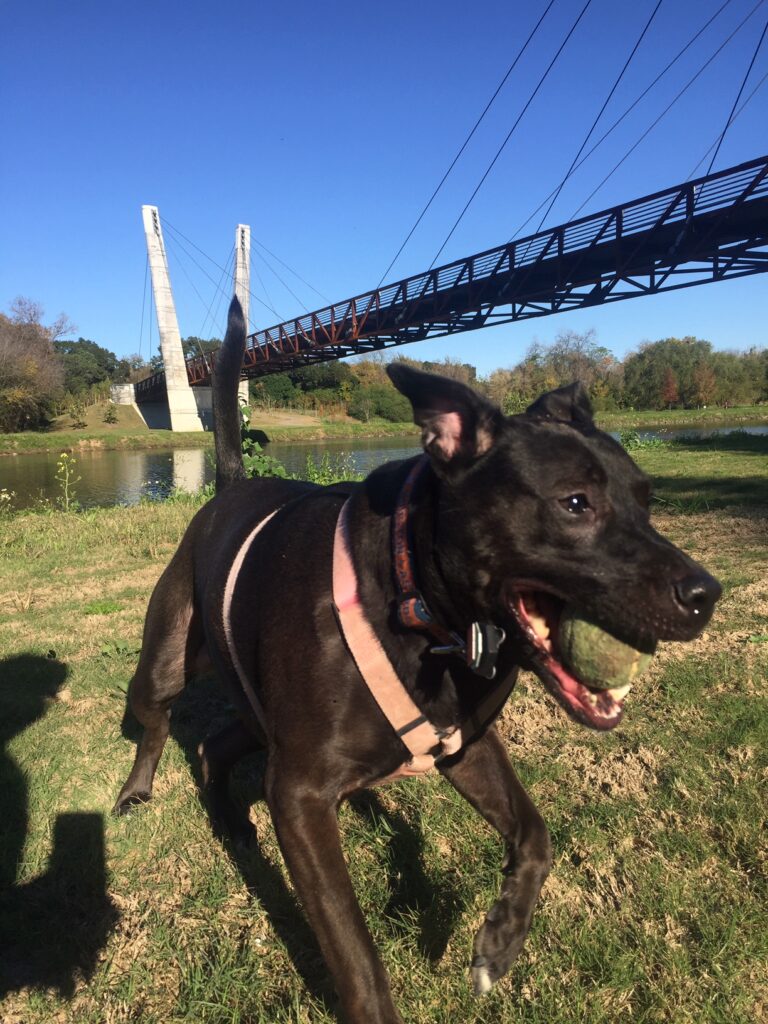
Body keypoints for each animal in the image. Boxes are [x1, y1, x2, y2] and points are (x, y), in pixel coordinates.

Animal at [114, 299, 720, 1024]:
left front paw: (498, 944)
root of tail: (229, 487)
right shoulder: (301, 795)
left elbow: (536, 835)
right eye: (576, 502)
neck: (425, 609)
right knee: (155, 722)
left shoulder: (464, 742)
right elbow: (353, 949)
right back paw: (136, 792)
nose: (706, 595)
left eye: (647, 499)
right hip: (164, 664)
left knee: (217, 745)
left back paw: (232, 823)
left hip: (261, 715)